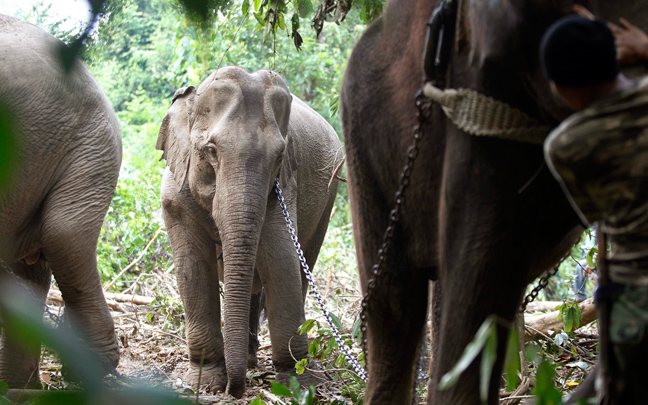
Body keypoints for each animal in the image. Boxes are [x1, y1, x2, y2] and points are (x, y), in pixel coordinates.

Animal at [155, 64, 344, 396]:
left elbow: (281, 260)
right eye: (211, 150)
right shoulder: (175, 191)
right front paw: (206, 382)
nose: (235, 390)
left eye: (279, 157)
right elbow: (193, 268)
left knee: (300, 264)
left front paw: (298, 383)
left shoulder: (283, 189)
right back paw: (248, 359)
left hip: (329, 196)